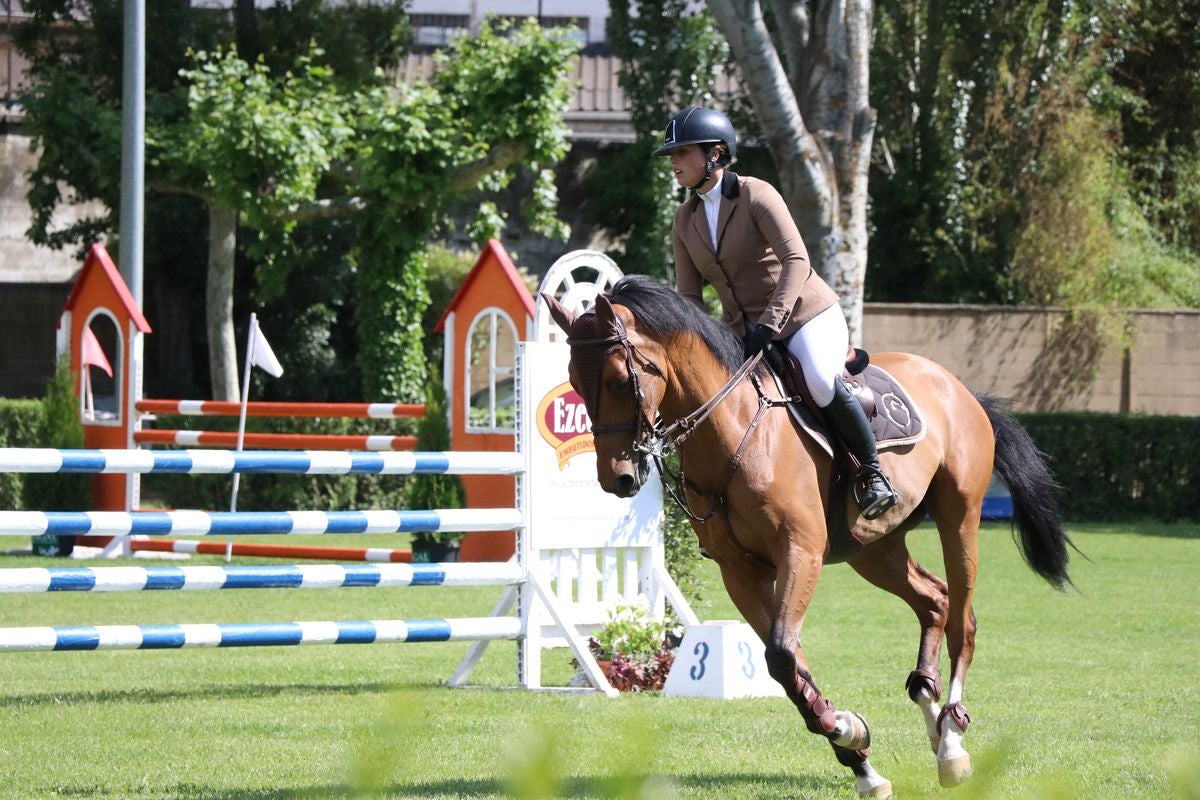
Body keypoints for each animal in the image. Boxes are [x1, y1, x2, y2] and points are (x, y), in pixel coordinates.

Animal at [544, 277, 1070, 800]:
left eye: (618, 381)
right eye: (574, 383)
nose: (618, 478)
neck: (733, 431)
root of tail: (956, 385)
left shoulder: (801, 552)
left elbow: (781, 654)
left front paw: (847, 730)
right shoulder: (740, 572)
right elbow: (789, 663)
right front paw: (859, 754)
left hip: (958, 517)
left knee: (963, 619)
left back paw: (953, 740)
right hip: (873, 548)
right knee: (935, 600)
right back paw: (932, 716)